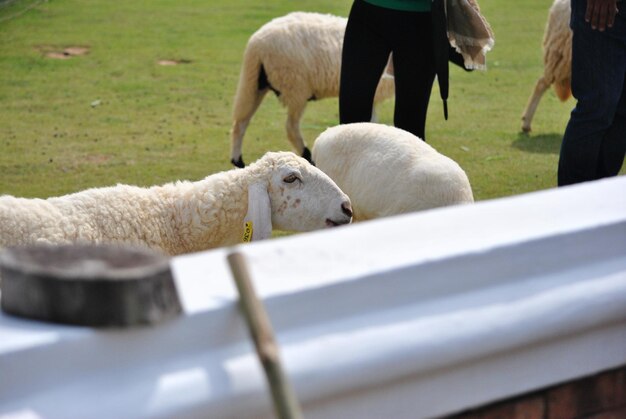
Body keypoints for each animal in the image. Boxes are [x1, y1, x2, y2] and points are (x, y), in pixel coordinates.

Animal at [229, 11, 394, 169]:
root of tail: (256, 44)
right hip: (295, 86)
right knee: (291, 127)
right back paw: (307, 155)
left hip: (254, 82)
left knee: (241, 121)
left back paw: (238, 161)